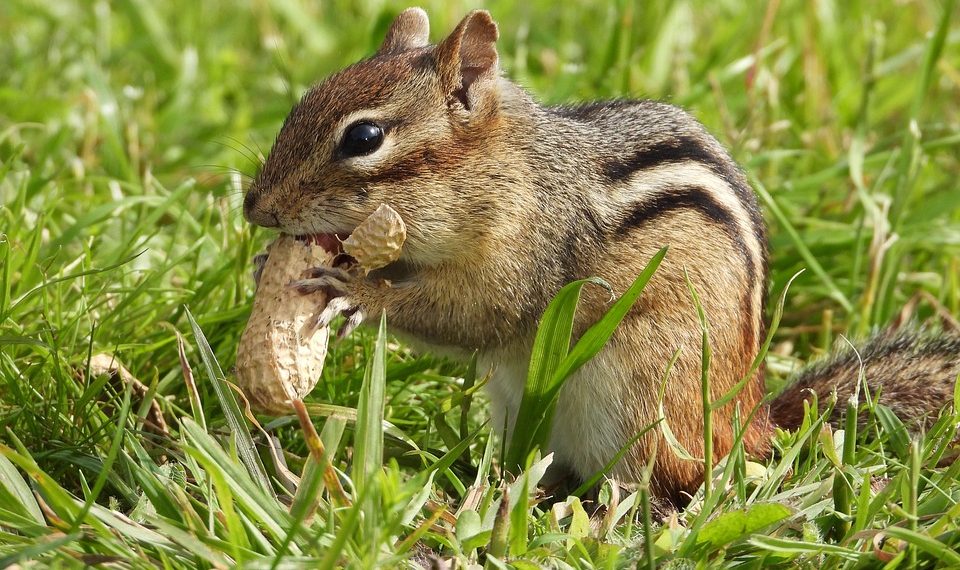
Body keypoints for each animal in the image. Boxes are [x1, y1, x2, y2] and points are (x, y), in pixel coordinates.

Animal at [242, 8, 960, 506]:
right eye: (304, 100)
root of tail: (752, 427)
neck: (505, 169)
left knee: (655, 485)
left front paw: (359, 293)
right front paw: (273, 268)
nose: (255, 208)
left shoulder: (528, 259)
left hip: (641, 392)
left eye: (364, 138)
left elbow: (471, 317)